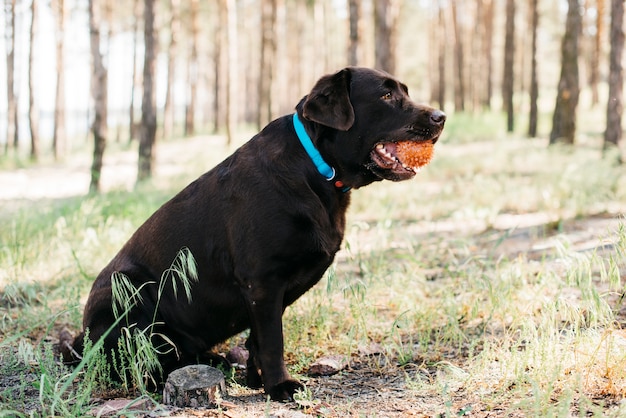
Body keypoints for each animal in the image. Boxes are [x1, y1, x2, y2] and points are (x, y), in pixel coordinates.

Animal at [62, 67, 444, 400]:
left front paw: (257, 379)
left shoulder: (269, 292)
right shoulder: (262, 282)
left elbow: (258, 342)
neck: (316, 168)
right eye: (386, 95)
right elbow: (273, 341)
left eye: (405, 91)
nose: (440, 116)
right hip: (128, 293)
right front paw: (280, 387)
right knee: (135, 364)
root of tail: (83, 338)